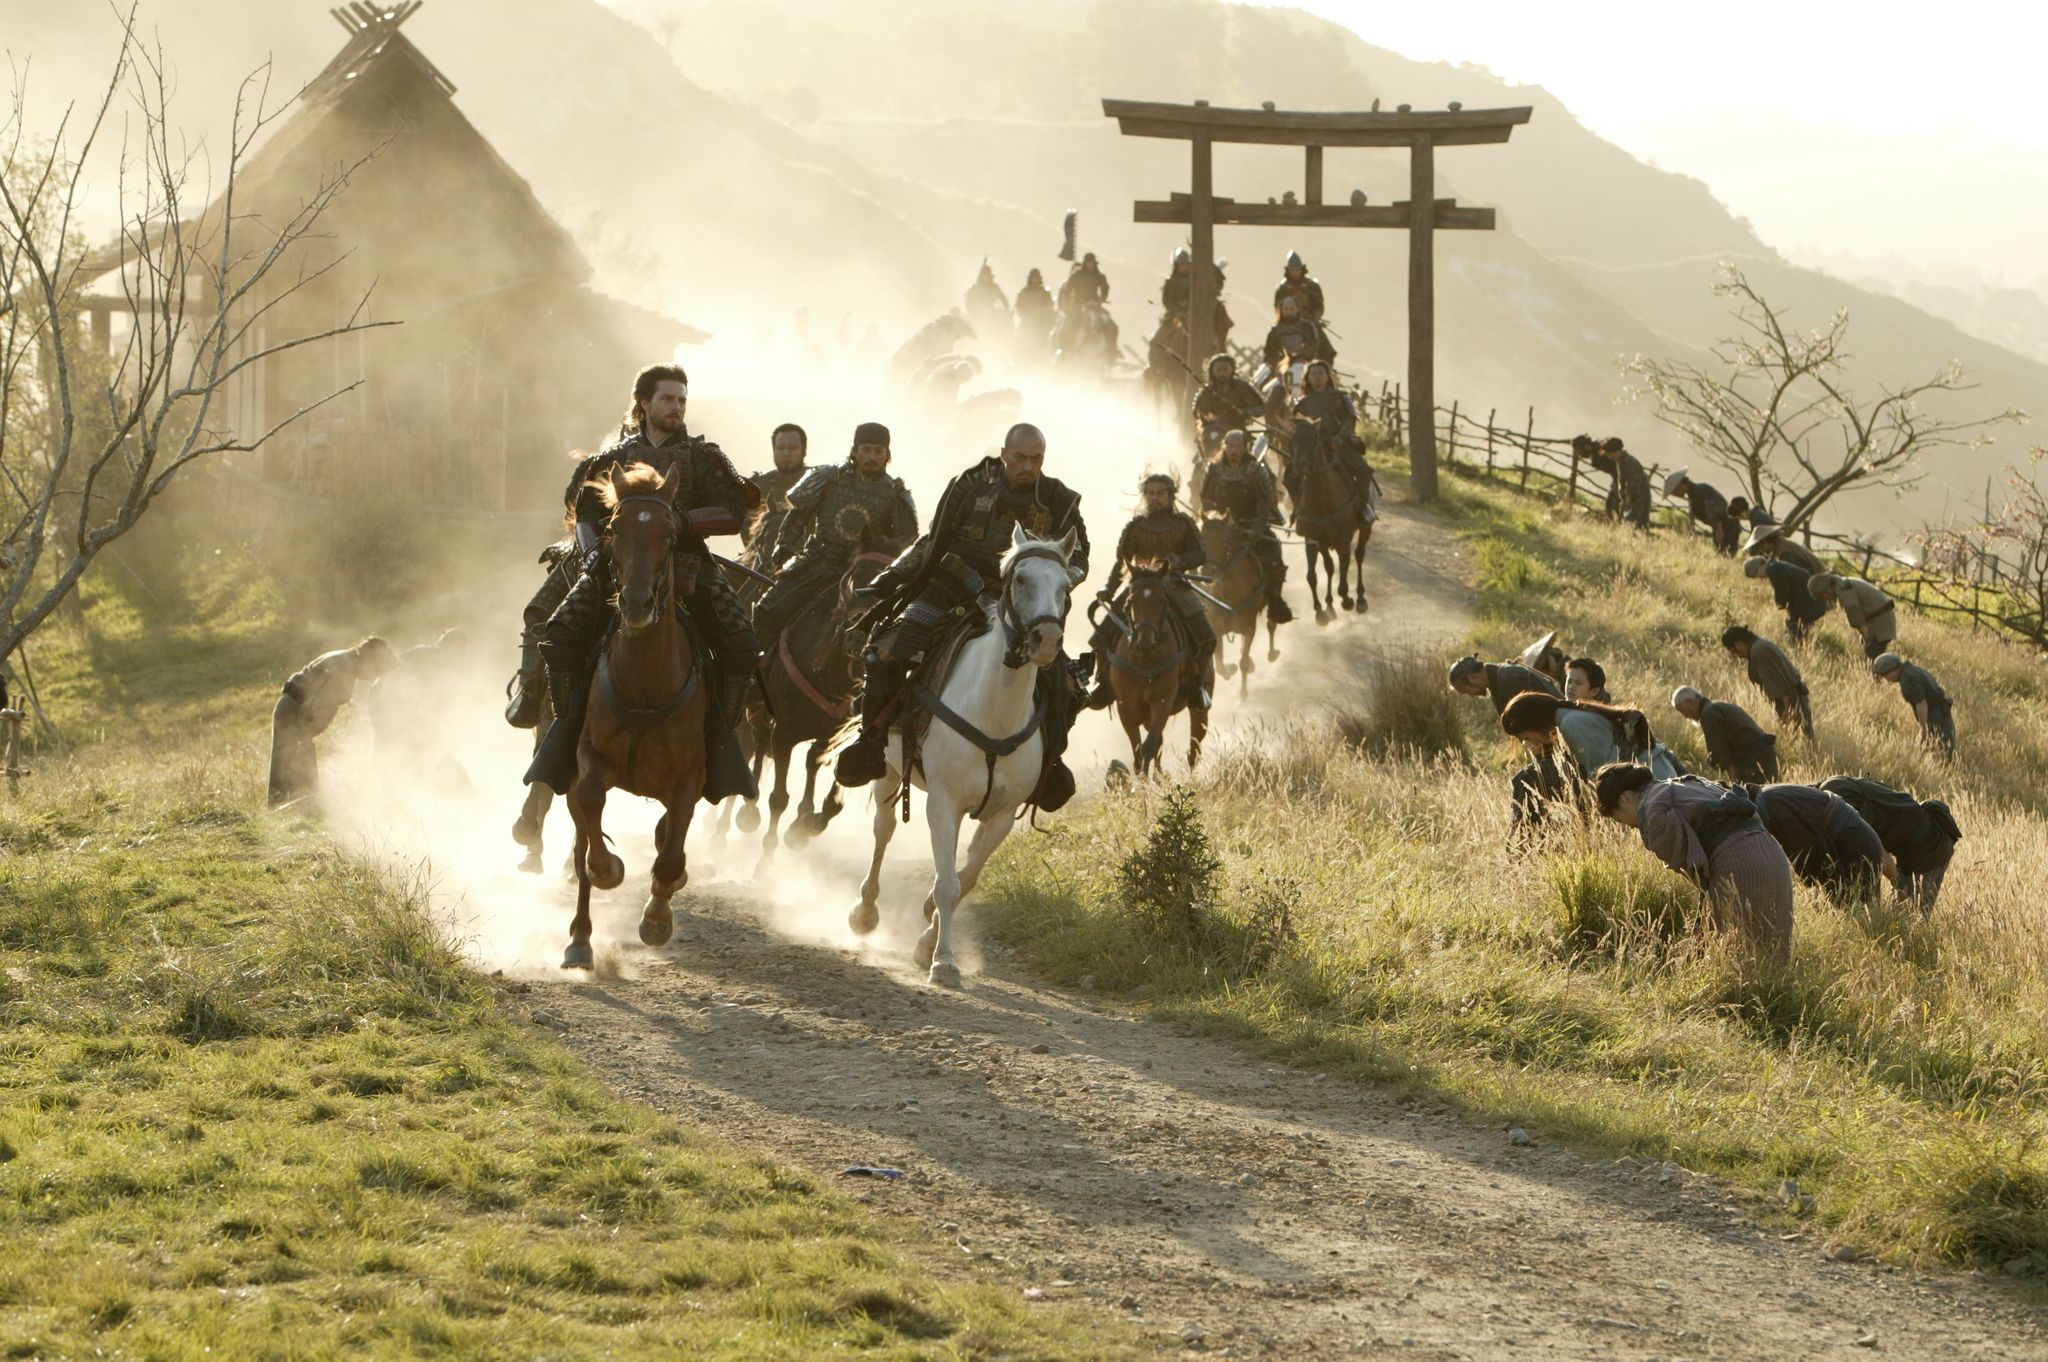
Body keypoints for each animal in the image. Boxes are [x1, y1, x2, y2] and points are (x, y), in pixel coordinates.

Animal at [561, 464, 712, 966]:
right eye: (615, 529)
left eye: (669, 533)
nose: (636, 603)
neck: (646, 684)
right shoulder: (588, 757)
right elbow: (590, 804)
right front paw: (609, 869)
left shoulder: (689, 780)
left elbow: (670, 855)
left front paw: (656, 919)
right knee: (580, 842)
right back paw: (580, 940)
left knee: (666, 839)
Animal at [843, 524, 1081, 983]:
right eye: (1020, 580)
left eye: (1066, 587)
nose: (1046, 640)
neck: (993, 714)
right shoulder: (943, 803)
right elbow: (947, 884)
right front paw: (944, 962)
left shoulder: (1002, 815)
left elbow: (965, 878)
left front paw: (926, 942)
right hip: (888, 771)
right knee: (884, 831)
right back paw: (864, 912)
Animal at [1114, 561, 1204, 774]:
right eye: (1131, 601)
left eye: (1162, 601)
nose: (1145, 644)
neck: (1144, 661)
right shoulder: (1125, 709)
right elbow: (1138, 751)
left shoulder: (1162, 702)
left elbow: (1148, 746)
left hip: (1198, 709)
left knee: (1194, 748)